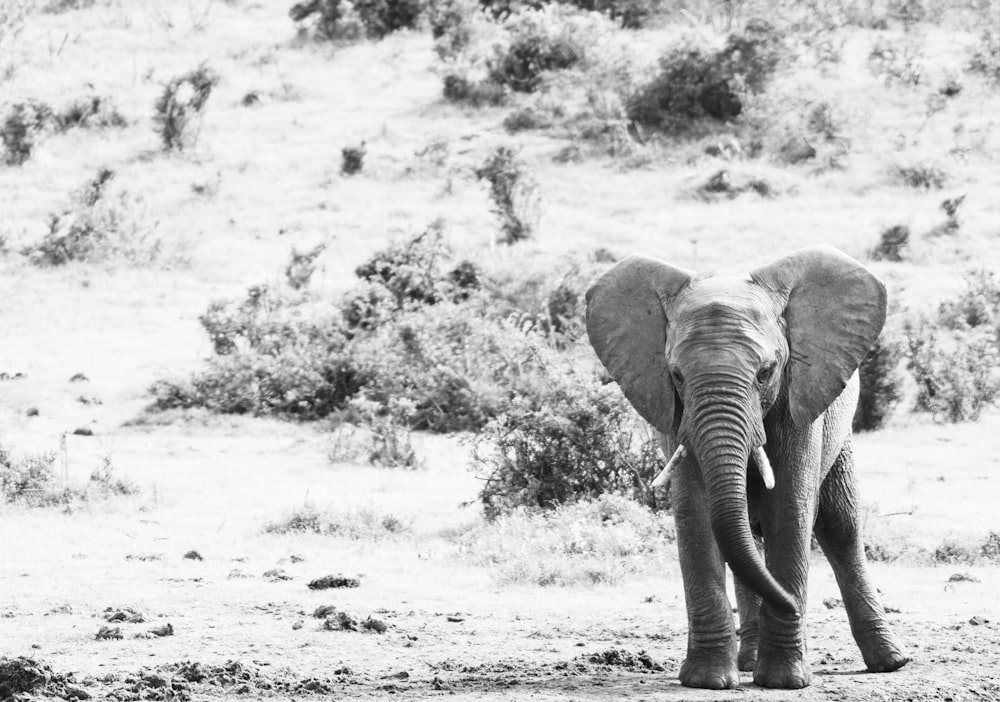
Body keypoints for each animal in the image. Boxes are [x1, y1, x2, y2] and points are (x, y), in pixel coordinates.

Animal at [584, 245, 916, 692]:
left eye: (766, 372)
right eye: (676, 374)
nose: (793, 605)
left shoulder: (798, 396)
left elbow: (790, 508)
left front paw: (784, 681)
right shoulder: (675, 413)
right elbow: (694, 513)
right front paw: (707, 681)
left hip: (841, 436)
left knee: (840, 527)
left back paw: (890, 661)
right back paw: (747, 662)